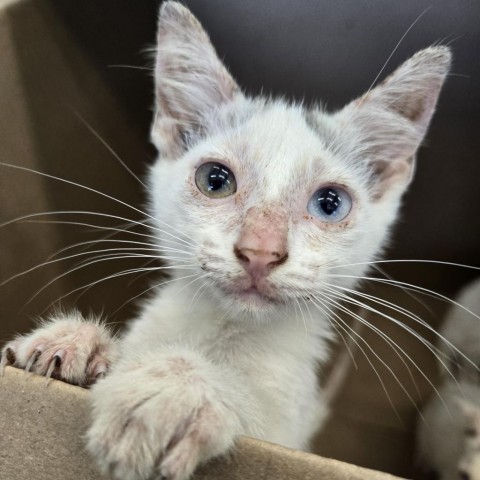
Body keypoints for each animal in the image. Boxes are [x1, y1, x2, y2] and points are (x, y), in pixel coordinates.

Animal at [0, 2, 450, 480]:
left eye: (330, 203)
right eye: (215, 180)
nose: (260, 251)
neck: (221, 334)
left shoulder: (284, 440)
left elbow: (258, 430)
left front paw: (175, 388)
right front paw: (76, 342)